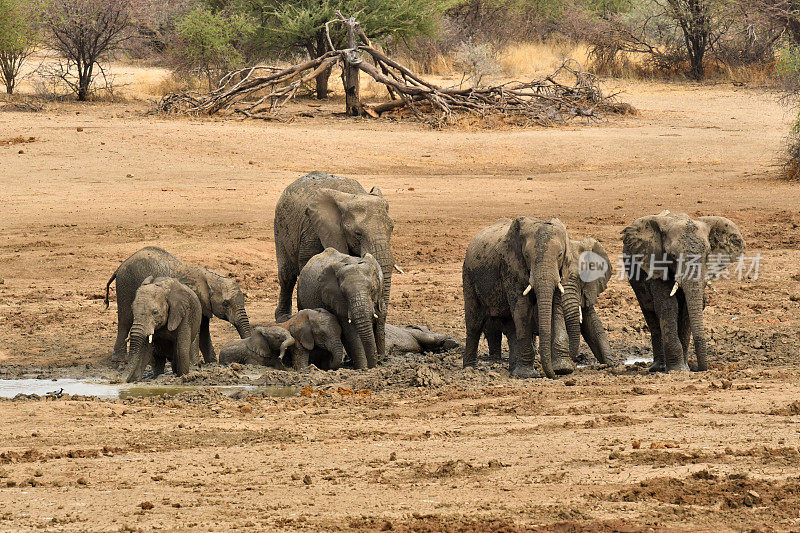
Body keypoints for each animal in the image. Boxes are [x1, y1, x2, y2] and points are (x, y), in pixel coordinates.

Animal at [274, 170, 396, 358]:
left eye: (392, 228)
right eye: (358, 233)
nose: (383, 356)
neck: (353, 196)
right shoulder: (313, 230)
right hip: (280, 227)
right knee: (287, 276)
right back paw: (283, 318)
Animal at [462, 216, 580, 378]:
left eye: (560, 254)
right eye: (527, 256)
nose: (553, 375)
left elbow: (555, 308)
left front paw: (563, 369)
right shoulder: (510, 267)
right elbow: (522, 308)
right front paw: (528, 375)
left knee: (511, 326)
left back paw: (512, 370)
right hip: (468, 275)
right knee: (474, 323)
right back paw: (469, 370)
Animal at [620, 210, 748, 372]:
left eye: (707, 254)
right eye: (673, 256)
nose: (697, 367)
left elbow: (688, 307)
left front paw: (685, 368)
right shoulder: (656, 263)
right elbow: (668, 306)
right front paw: (678, 370)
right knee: (650, 313)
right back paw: (658, 367)